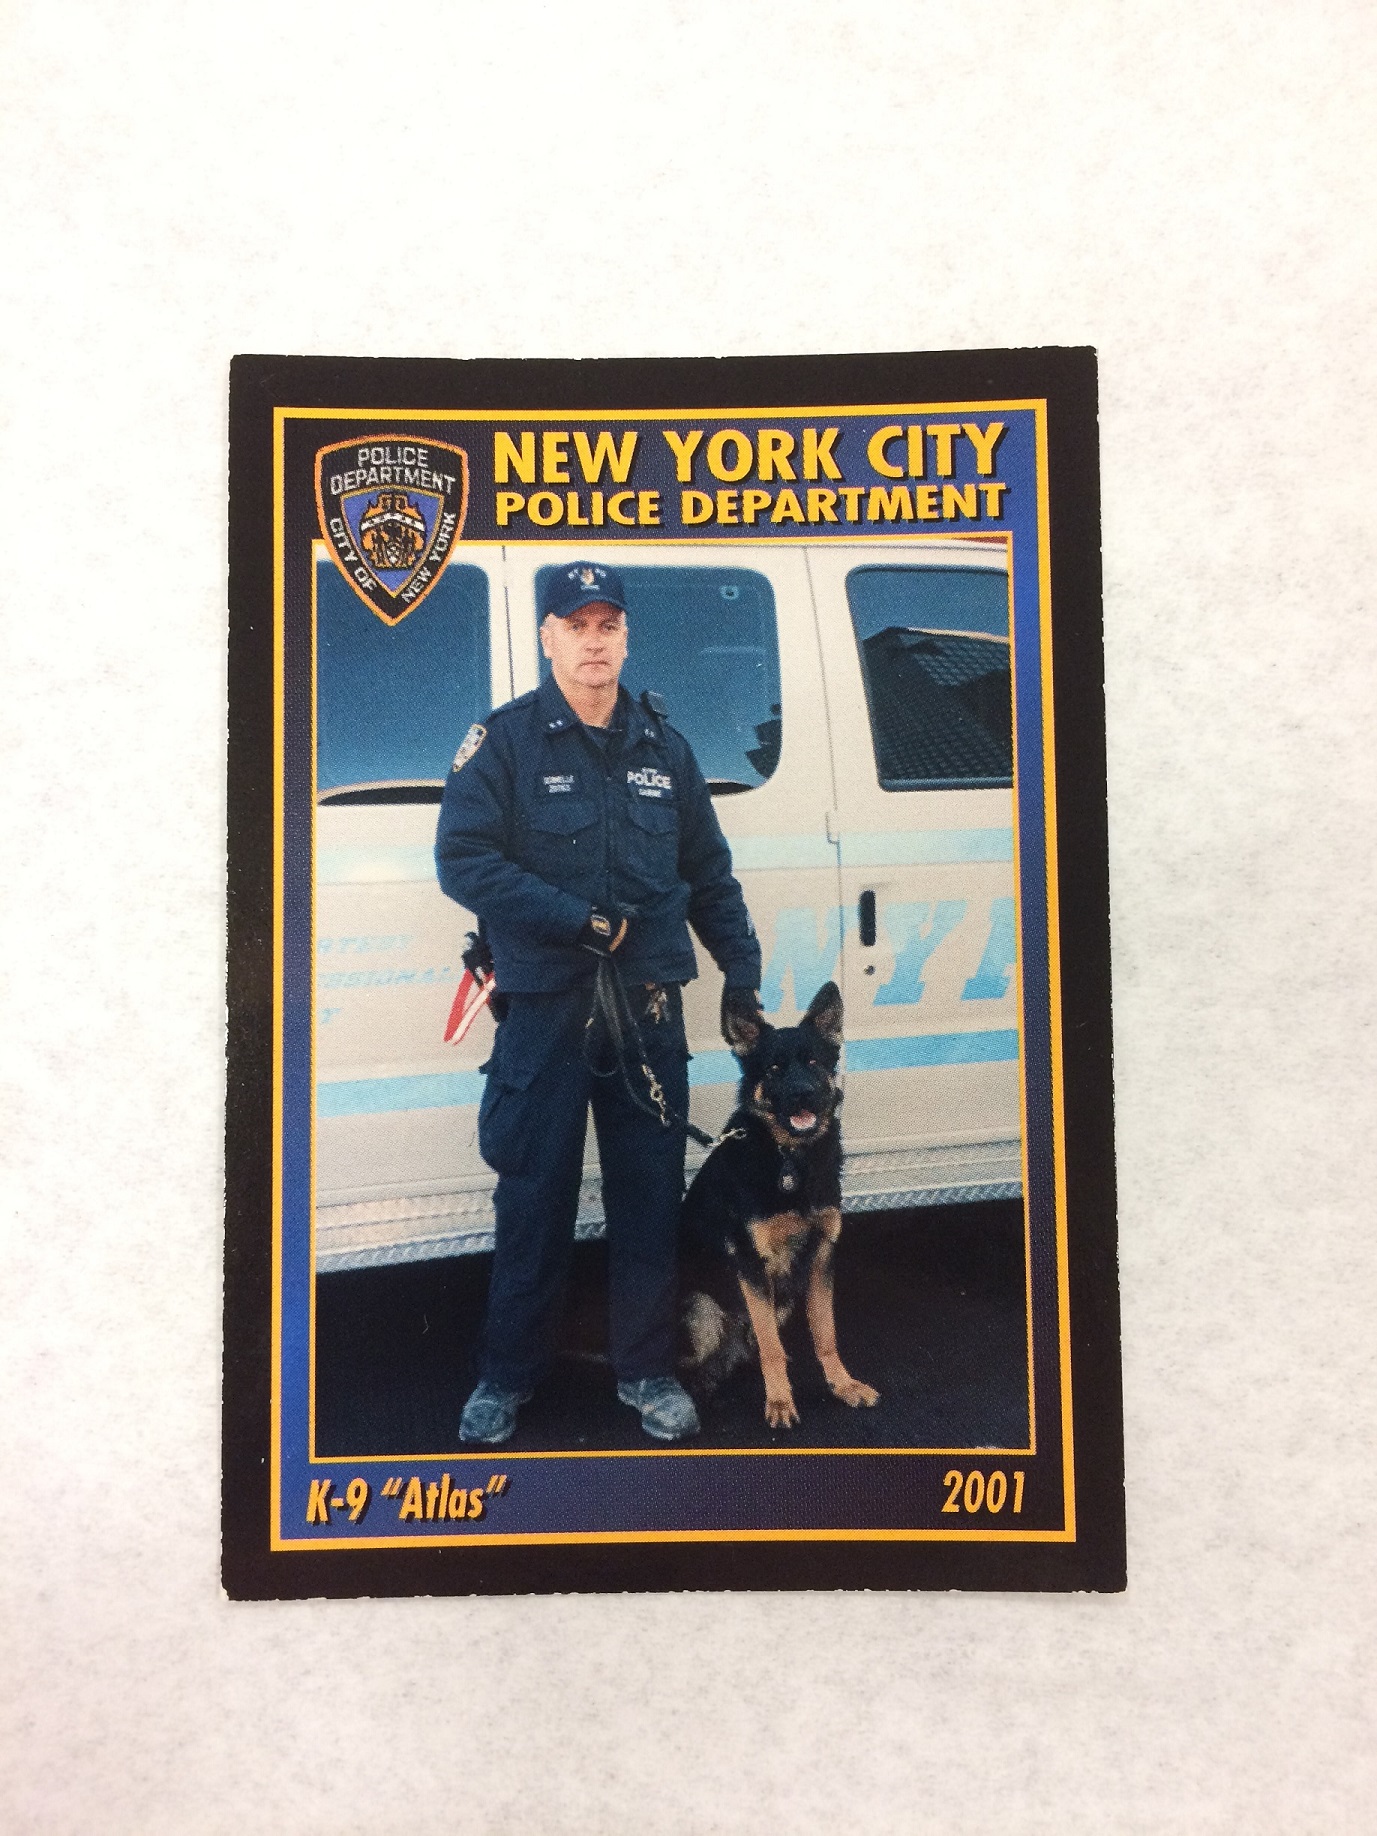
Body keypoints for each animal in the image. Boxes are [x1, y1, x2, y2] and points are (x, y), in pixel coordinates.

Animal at [682, 984, 884, 1424]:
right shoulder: (751, 1264)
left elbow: (824, 1333)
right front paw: (778, 1401)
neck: (789, 1157)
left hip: (785, 1296)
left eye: (813, 1063)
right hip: (703, 1308)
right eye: (774, 1069)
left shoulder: (822, 1256)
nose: (802, 1093)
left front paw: (842, 1385)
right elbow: (771, 1346)